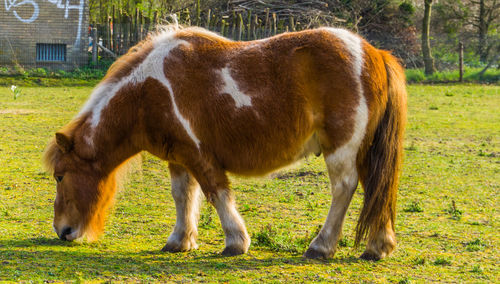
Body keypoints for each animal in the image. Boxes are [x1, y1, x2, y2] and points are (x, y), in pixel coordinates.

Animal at [44, 25, 406, 260]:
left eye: (60, 176)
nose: (63, 231)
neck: (149, 90)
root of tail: (374, 53)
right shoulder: (178, 157)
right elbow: (183, 196)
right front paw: (180, 240)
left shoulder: (200, 155)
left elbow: (216, 193)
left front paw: (235, 242)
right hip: (365, 151)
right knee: (375, 188)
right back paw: (378, 247)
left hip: (342, 149)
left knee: (344, 188)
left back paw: (321, 247)